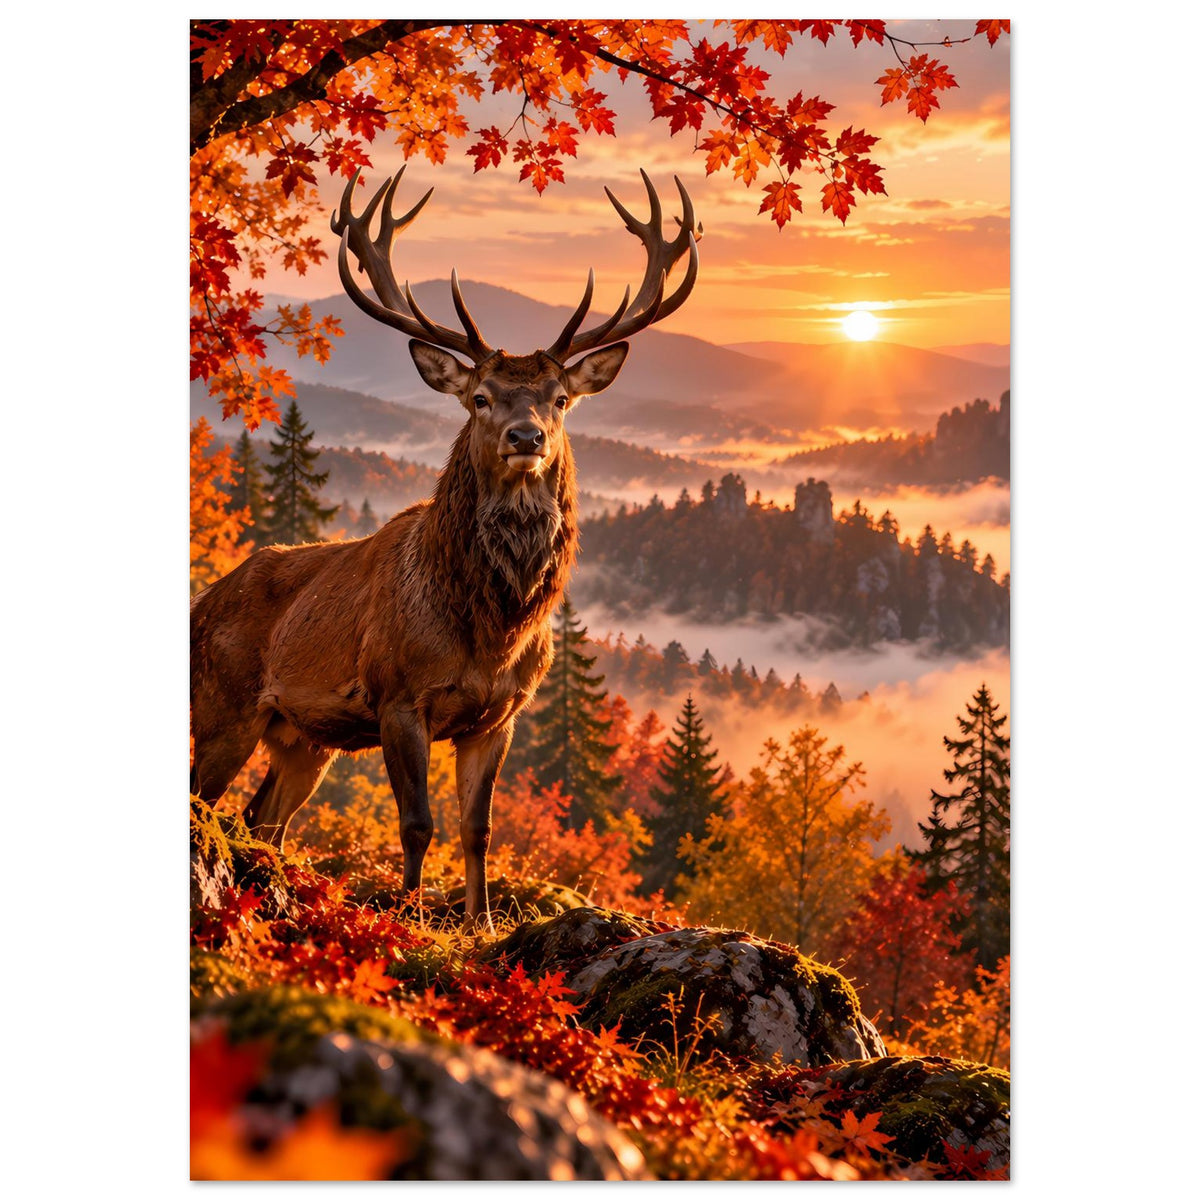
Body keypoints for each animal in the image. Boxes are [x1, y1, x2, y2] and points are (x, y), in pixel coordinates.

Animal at [190, 166, 700, 927]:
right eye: (481, 397)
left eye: (559, 399)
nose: (526, 436)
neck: (492, 631)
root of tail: (201, 603)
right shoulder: (398, 697)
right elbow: (418, 822)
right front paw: (409, 917)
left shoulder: (498, 716)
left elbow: (476, 826)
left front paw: (481, 921)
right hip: (224, 703)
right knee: (205, 796)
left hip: (301, 738)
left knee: (261, 817)